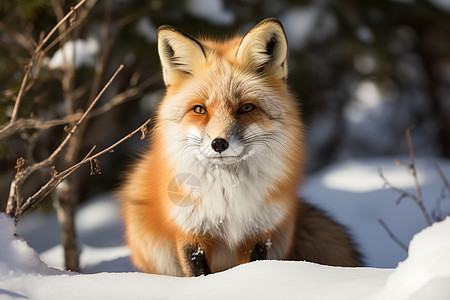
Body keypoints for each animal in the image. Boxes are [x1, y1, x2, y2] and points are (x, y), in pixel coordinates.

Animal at [120, 18, 362, 276]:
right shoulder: (190, 231)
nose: (219, 143)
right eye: (199, 110)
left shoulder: (259, 231)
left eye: (246, 108)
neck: (228, 195)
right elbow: (199, 274)